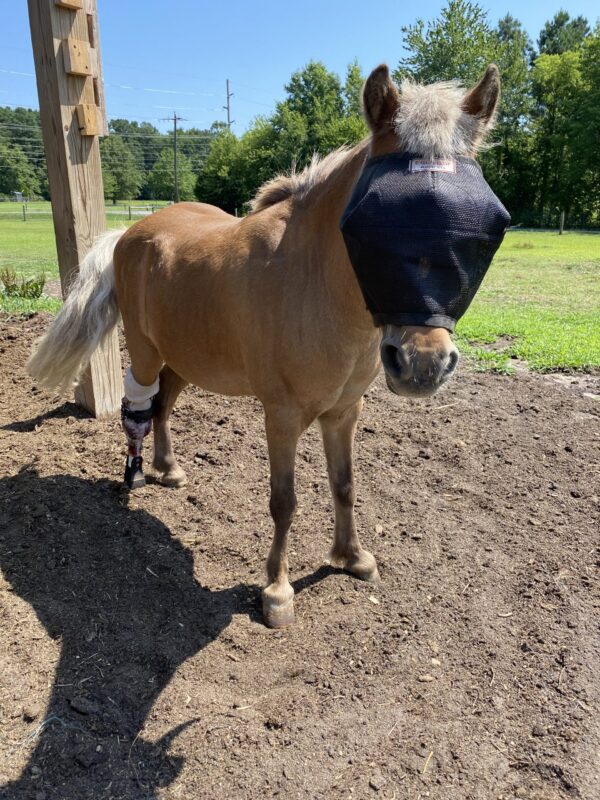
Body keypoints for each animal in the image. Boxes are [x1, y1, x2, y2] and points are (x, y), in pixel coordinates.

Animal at [28, 64, 506, 624]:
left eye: (482, 230)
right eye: (371, 225)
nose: (423, 365)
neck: (314, 282)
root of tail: (133, 231)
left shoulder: (344, 412)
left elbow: (344, 484)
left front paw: (351, 558)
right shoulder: (281, 416)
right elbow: (284, 502)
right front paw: (276, 590)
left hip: (185, 359)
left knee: (164, 406)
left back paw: (169, 471)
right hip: (146, 354)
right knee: (140, 409)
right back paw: (137, 475)